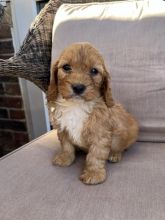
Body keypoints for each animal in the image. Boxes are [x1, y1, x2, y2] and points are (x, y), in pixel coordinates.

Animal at [47, 42, 139, 185]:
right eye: (66, 67)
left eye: (94, 71)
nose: (78, 87)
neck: (77, 105)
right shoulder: (63, 128)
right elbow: (66, 145)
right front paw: (65, 158)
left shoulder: (100, 135)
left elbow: (95, 155)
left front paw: (94, 173)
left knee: (122, 147)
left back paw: (115, 154)